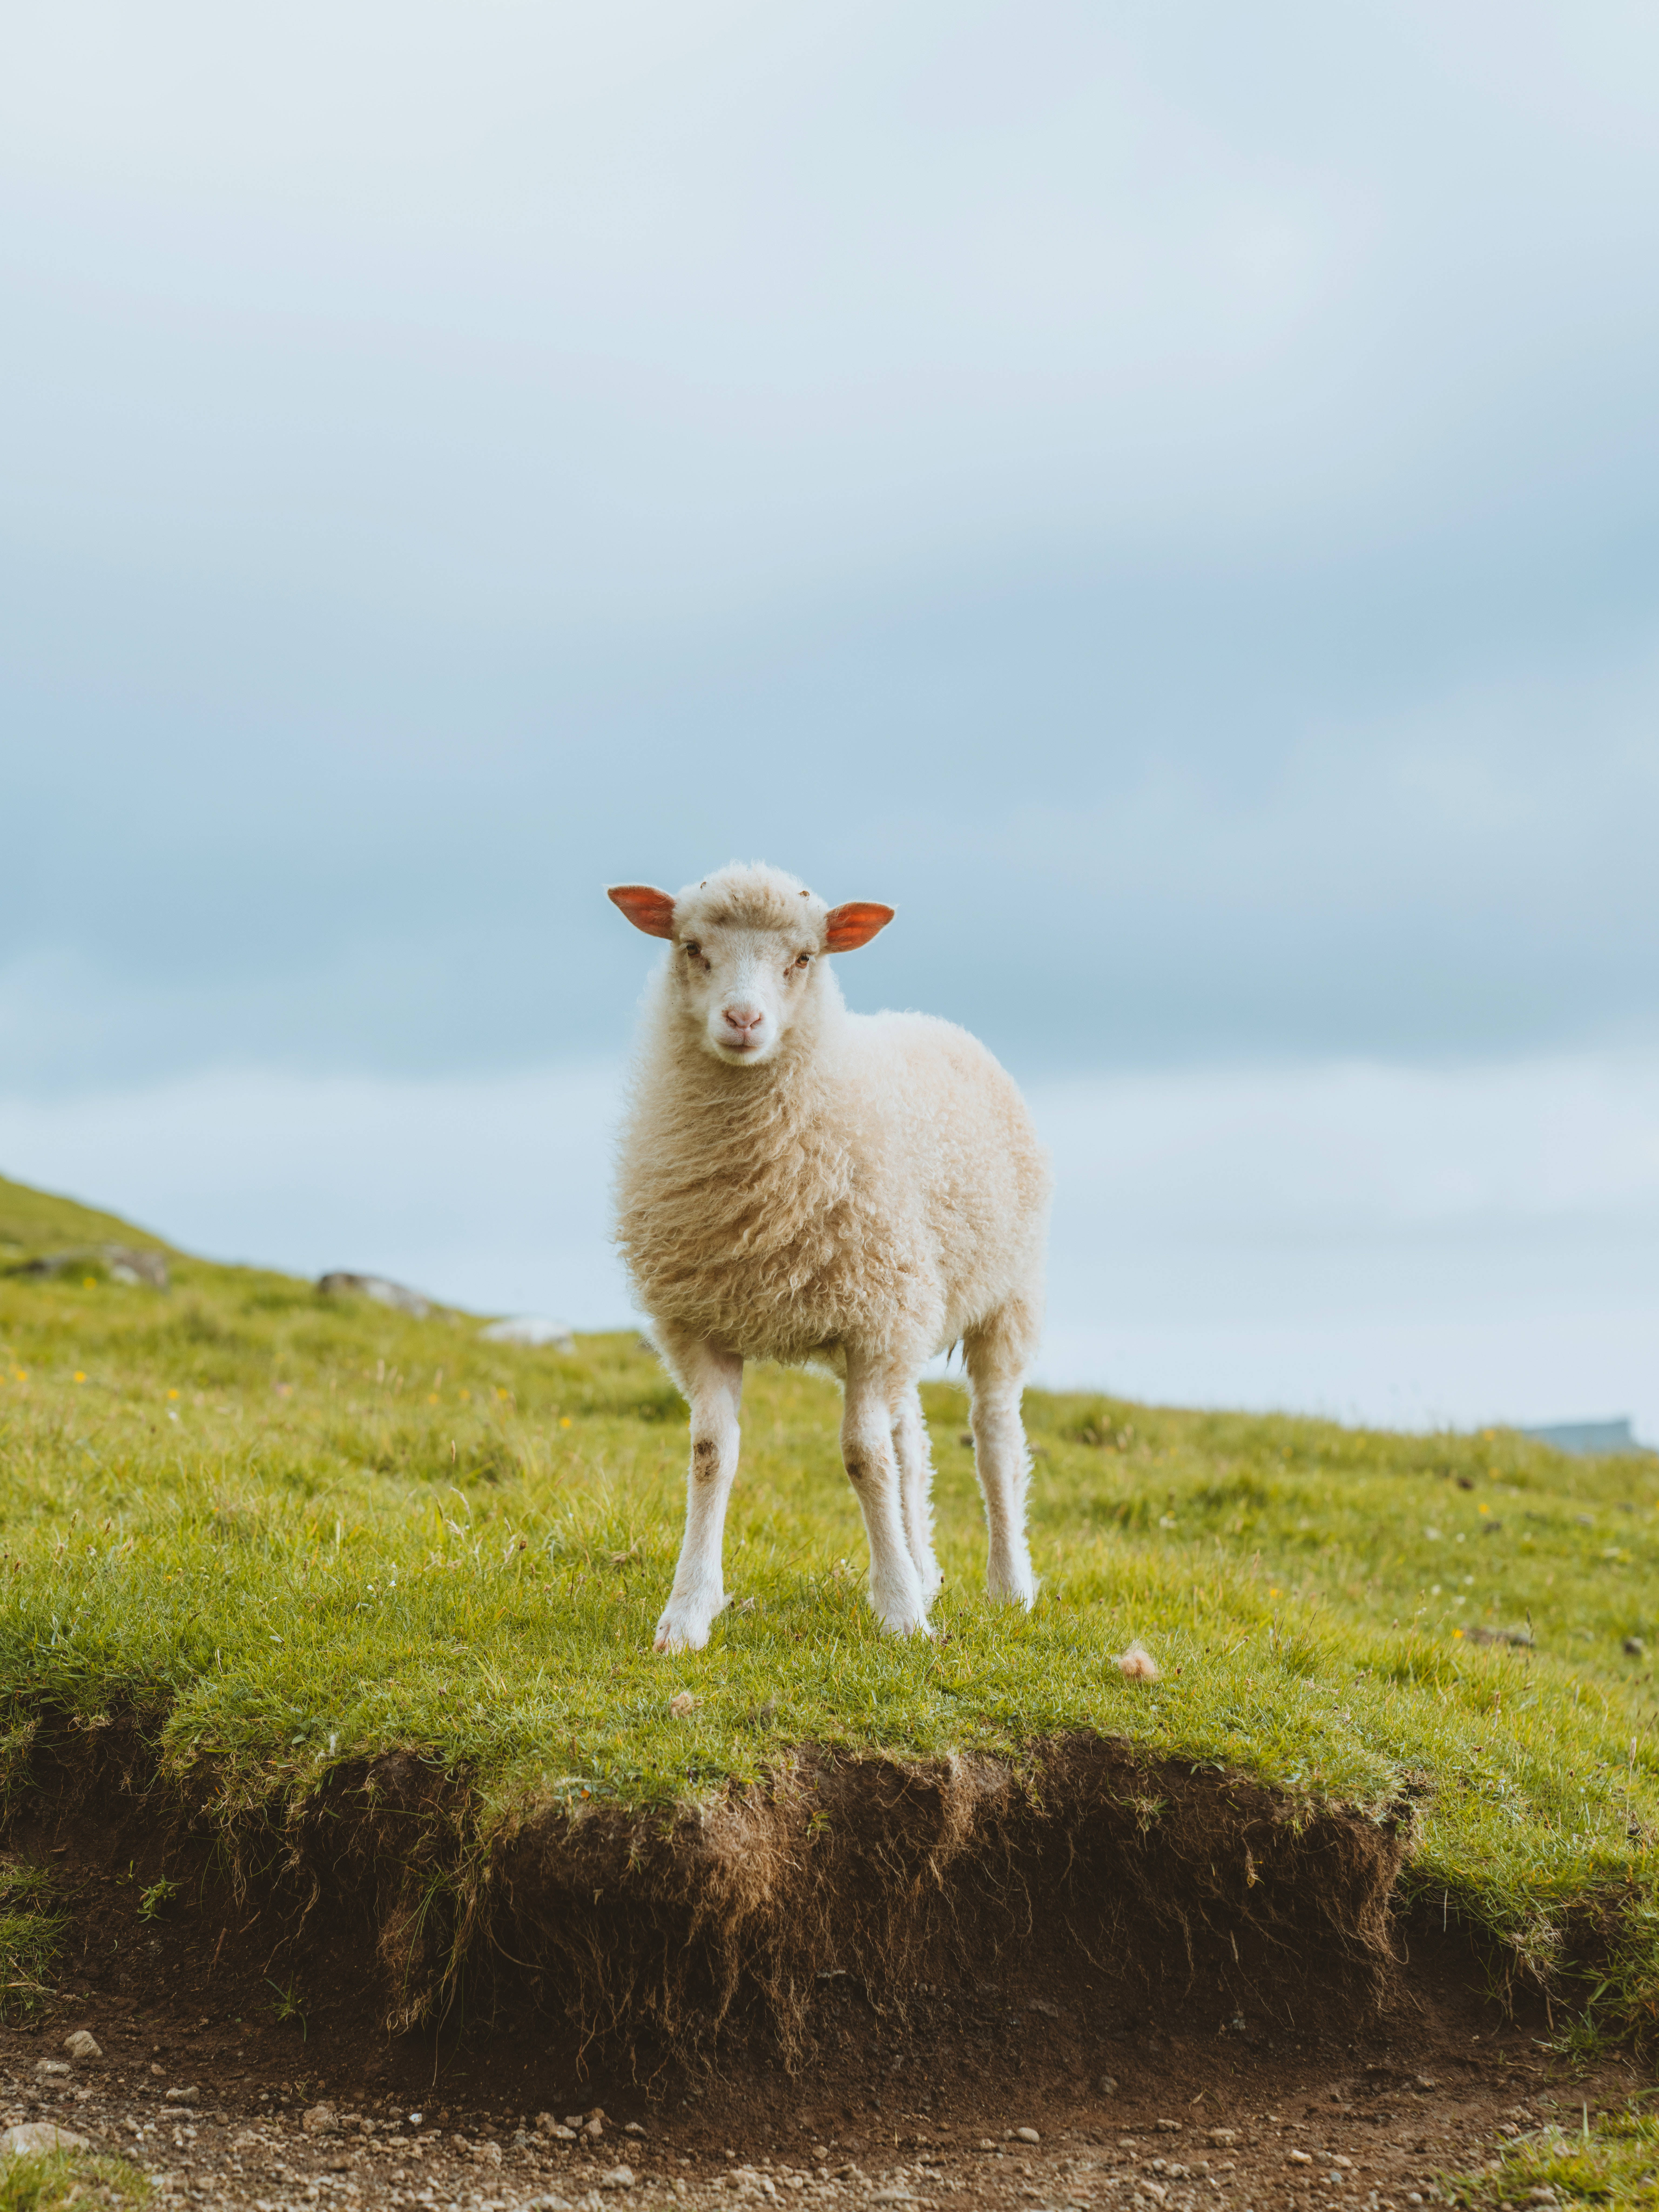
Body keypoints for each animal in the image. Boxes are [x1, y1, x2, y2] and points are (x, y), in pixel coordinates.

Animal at [609, 860, 1051, 1652]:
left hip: (1002, 1297)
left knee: (994, 1434)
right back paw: (926, 1568)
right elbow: (712, 1453)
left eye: (804, 958)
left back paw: (1008, 1585)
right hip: (908, 1303)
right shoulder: (701, 1324)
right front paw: (688, 1613)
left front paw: (901, 1614)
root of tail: (932, 1020)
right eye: (691, 947)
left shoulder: (873, 1325)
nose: (742, 1021)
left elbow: (861, 1458)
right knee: (912, 1439)